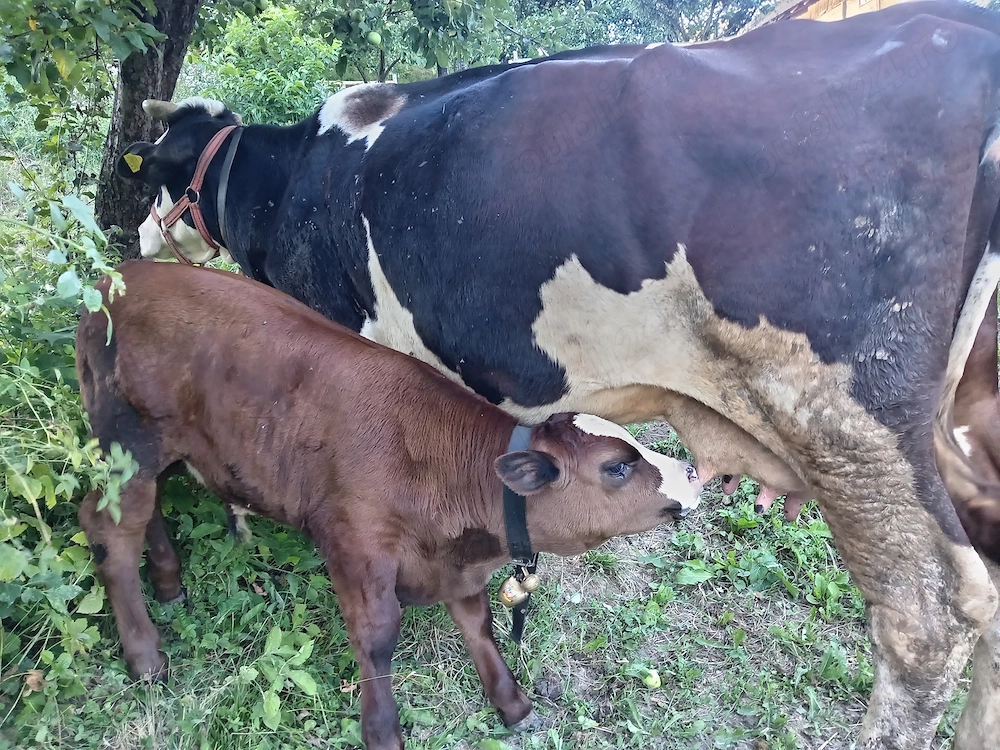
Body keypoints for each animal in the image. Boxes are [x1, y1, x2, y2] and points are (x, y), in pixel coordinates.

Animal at [75, 260, 702, 750]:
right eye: (617, 467)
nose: (693, 471)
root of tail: (118, 277)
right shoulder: (355, 545)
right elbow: (376, 639)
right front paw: (381, 731)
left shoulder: (457, 563)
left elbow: (478, 621)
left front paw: (512, 703)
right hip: (130, 441)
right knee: (108, 528)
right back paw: (146, 655)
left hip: (154, 450)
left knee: (146, 514)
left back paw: (168, 583)